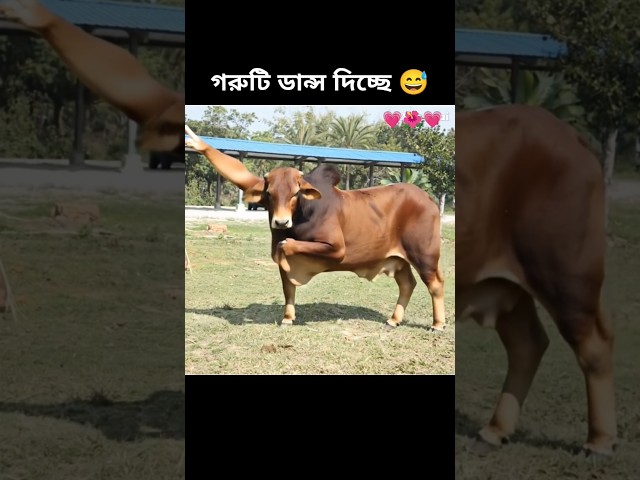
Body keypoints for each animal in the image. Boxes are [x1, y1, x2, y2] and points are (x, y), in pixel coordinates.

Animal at [241, 163, 446, 331]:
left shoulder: (336, 248)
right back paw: (393, 320)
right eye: (269, 193)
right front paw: (287, 317)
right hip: (399, 259)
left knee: (435, 284)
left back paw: (437, 324)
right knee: (407, 284)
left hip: (424, 255)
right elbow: (288, 288)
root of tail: (426, 196)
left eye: (295, 192)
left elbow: (286, 246)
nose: (281, 222)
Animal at [456, 105, 617, 457]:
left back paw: (599, 441)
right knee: (528, 344)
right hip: (508, 284)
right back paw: (495, 430)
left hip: (566, 276)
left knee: (594, 347)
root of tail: (571, 135)